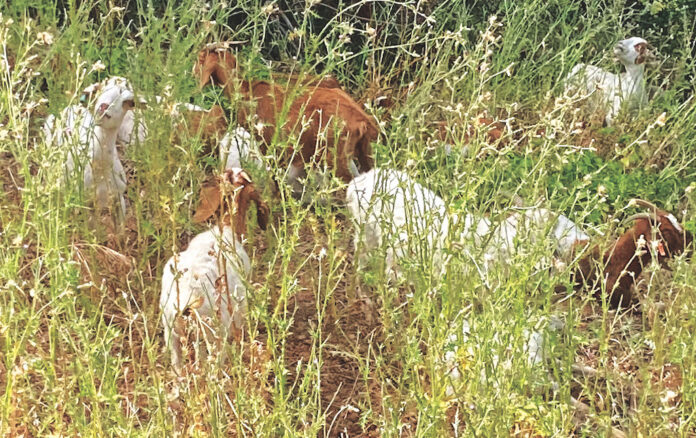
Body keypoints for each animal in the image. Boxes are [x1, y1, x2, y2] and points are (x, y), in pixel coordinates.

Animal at [192, 47, 376, 183]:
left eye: (200, 59)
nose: (192, 72)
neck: (247, 92)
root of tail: (363, 119)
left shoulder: (268, 142)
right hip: (363, 150)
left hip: (336, 154)